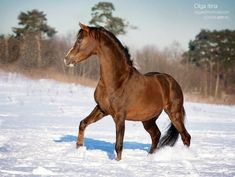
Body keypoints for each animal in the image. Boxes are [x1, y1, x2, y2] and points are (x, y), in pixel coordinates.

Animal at [64, 22, 191, 160]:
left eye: (80, 40)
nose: (67, 59)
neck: (117, 81)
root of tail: (172, 82)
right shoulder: (102, 109)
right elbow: (83, 123)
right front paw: (78, 148)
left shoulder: (120, 116)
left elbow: (118, 145)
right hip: (148, 119)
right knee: (156, 135)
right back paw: (150, 157)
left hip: (174, 114)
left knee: (186, 136)